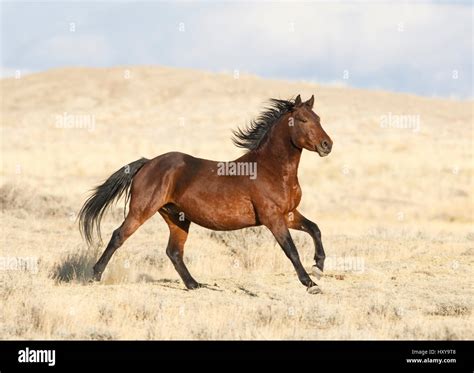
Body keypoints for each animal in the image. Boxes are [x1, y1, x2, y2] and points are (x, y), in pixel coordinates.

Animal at [78, 94, 334, 292]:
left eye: (319, 119)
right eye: (302, 119)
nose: (327, 145)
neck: (271, 169)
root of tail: (148, 162)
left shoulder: (288, 214)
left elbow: (315, 229)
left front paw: (318, 267)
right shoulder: (272, 218)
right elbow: (291, 250)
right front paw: (310, 283)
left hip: (177, 218)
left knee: (174, 252)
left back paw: (194, 284)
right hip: (142, 210)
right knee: (118, 236)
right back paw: (95, 275)